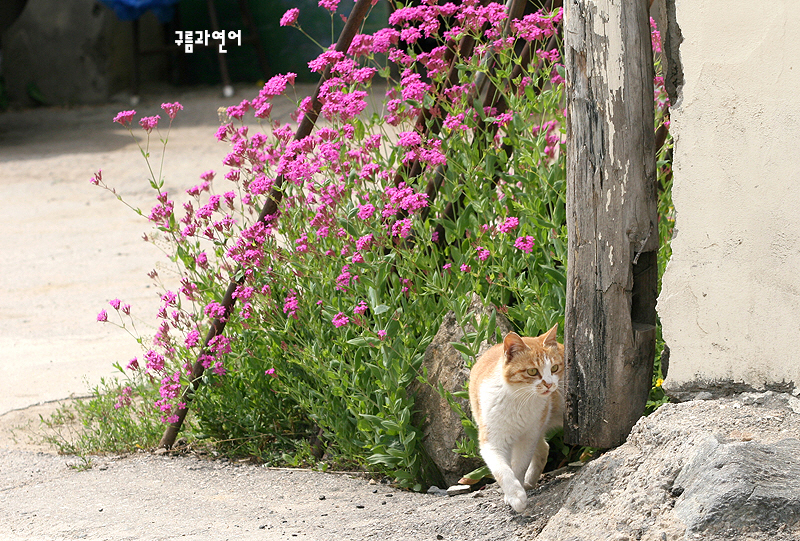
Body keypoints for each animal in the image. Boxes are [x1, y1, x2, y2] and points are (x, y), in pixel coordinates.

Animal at [468, 322, 564, 512]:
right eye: (533, 371)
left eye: (554, 368)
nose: (549, 384)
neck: (519, 400)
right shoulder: (492, 442)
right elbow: (502, 470)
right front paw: (515, 495)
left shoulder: (527, 438)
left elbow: (519, 466)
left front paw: (515, 492)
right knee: (543, 448)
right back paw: (528, 483)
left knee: (542, 449)